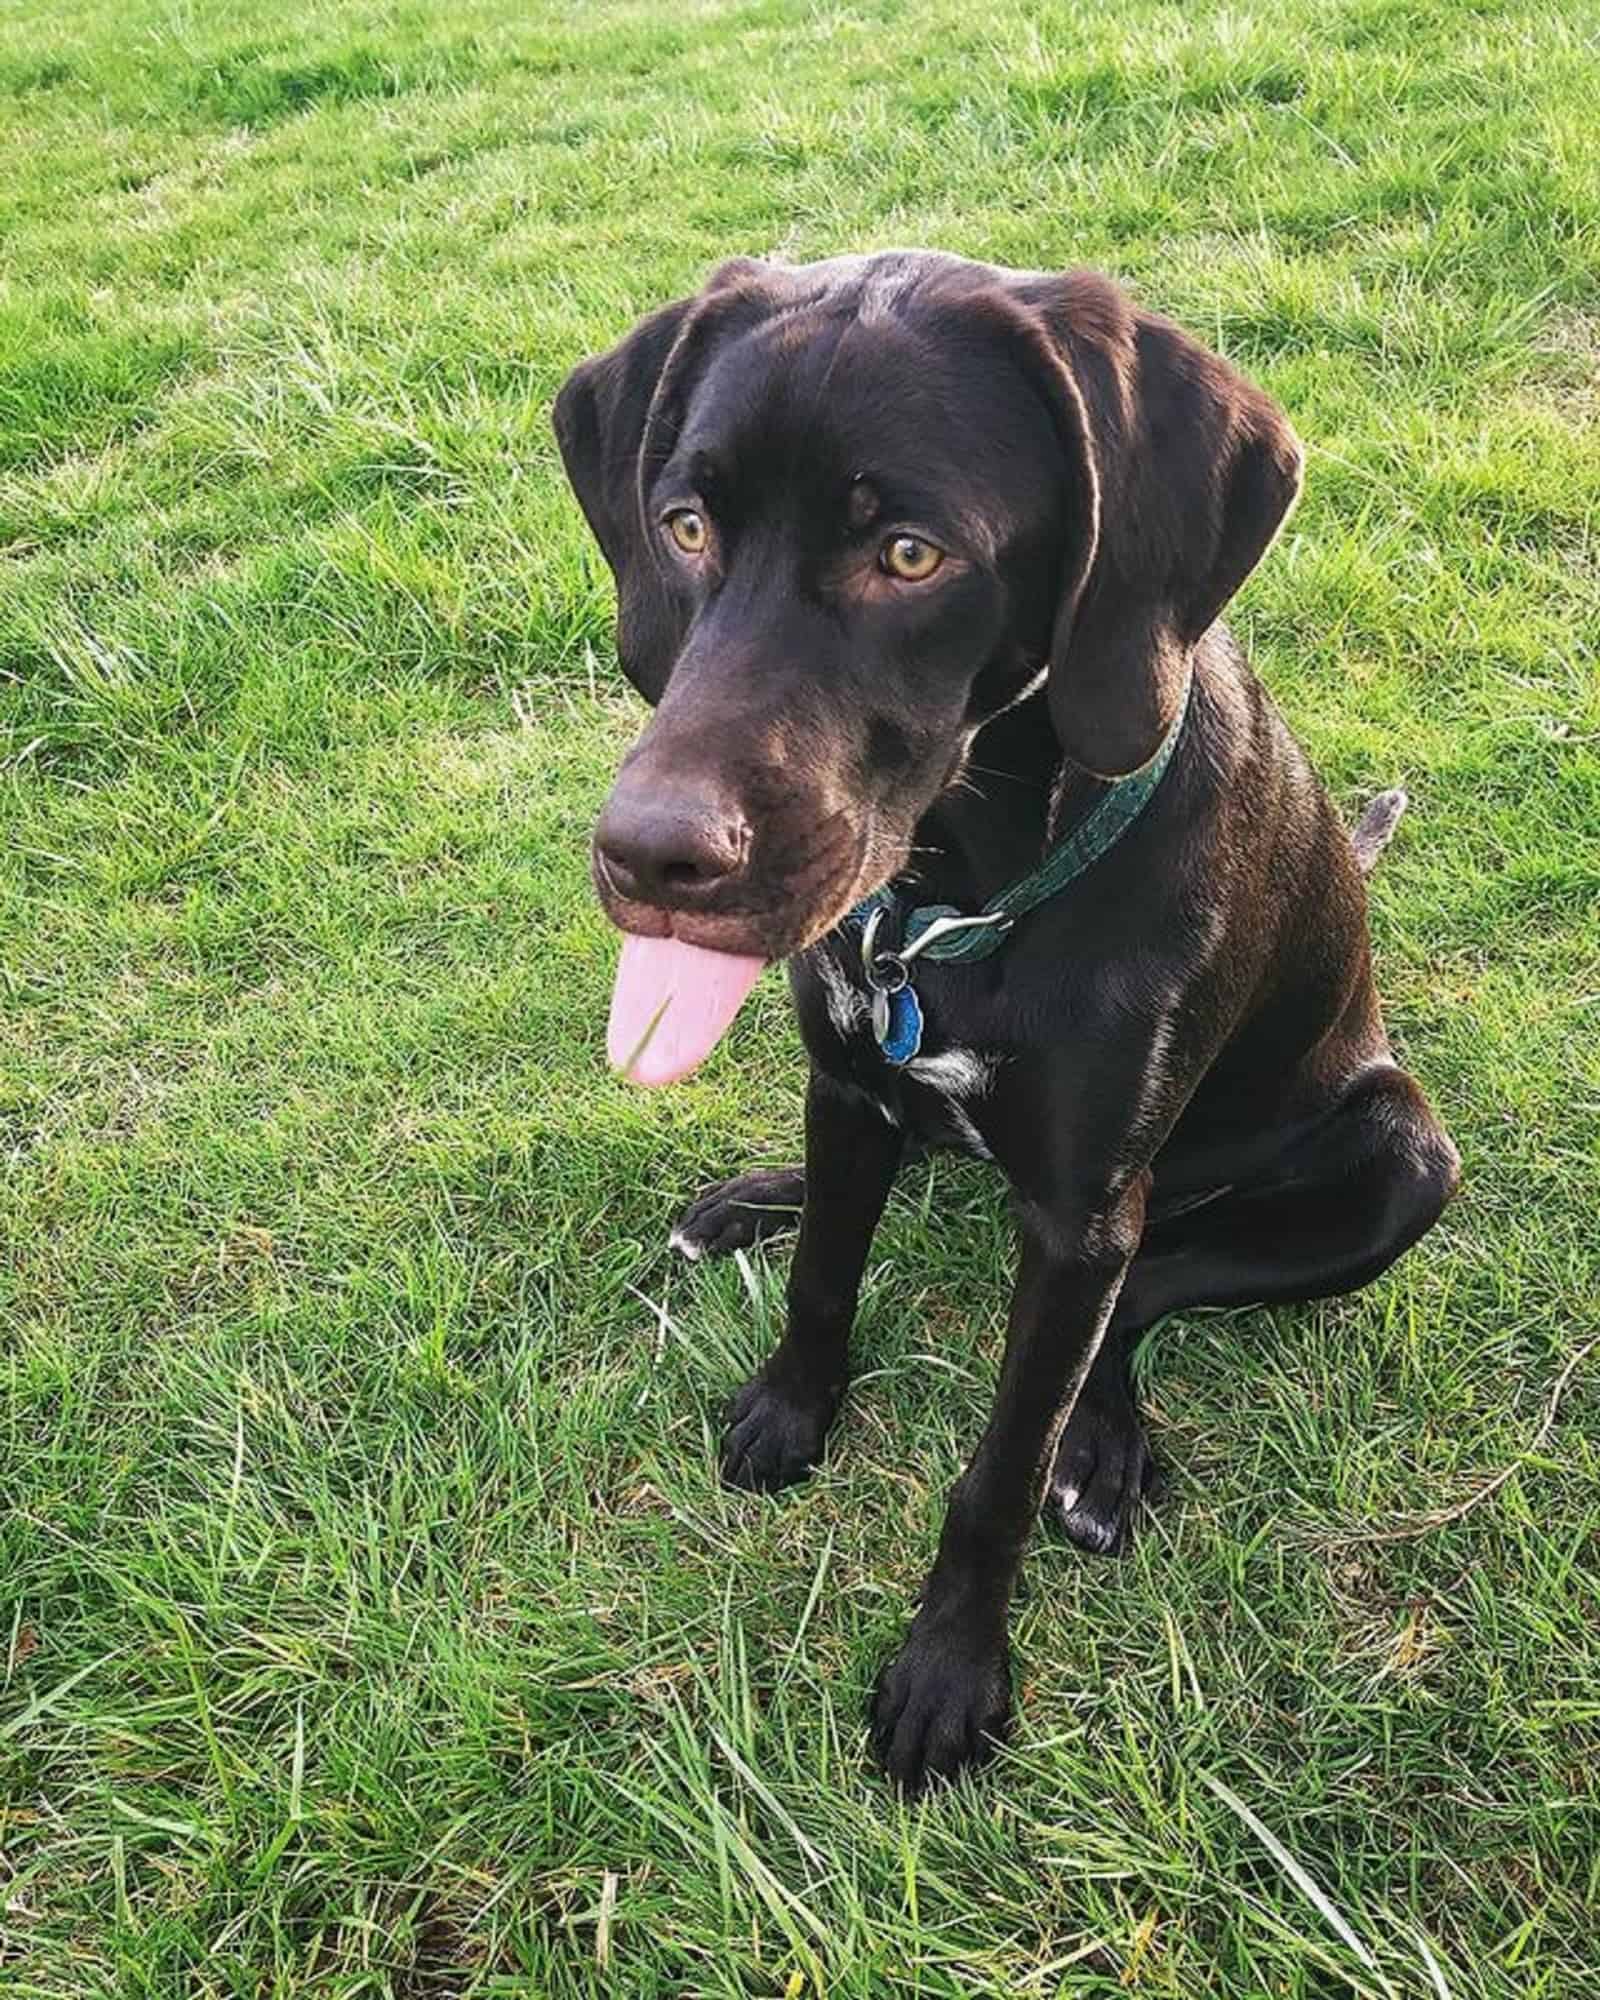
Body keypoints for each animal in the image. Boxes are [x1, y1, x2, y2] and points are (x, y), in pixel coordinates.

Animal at [552, 254, 1464, 1800]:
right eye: (684, 526)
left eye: (911, 556)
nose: (648, 861)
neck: (957, 906)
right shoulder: (848, 1082)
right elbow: (825, 1279)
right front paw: (791, 1404)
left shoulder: (1086, 1212)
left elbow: (999, 1467)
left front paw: (949, 1669)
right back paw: (747, 1199)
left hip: (1400, 1154)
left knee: (1151, 1290)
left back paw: (1102, 1447)